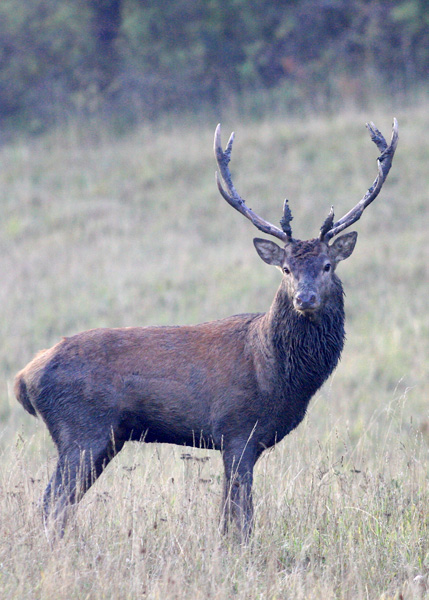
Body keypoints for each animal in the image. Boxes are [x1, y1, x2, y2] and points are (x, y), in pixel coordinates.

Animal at [13, 119, 396, 540]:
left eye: (327, 265)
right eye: (286, 269)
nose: (305, 298)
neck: (277, 373)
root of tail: (23, 379)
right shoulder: (237, 429)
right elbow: (239, 515)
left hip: (103, 438)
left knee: (59, 504)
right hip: (82, 430)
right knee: (52, 501)